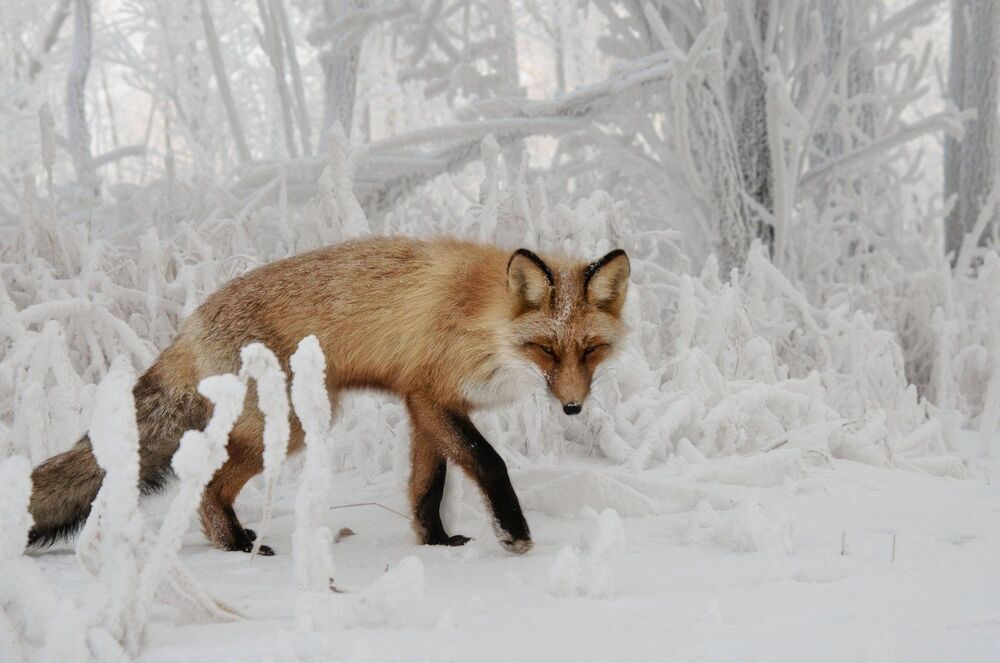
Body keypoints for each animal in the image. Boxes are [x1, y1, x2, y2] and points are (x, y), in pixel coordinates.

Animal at [26, 236, 630, 555]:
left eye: (591, 350)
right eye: (546, 349)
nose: (573, 407)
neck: (484, 322)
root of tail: (189, 323)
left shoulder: (424, 402)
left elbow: (426, 487)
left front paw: (435, 541)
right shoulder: (433, 397)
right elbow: (489, 462)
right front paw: (514, 532)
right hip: (288, 425)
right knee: (205, 484)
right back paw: (236, 546)